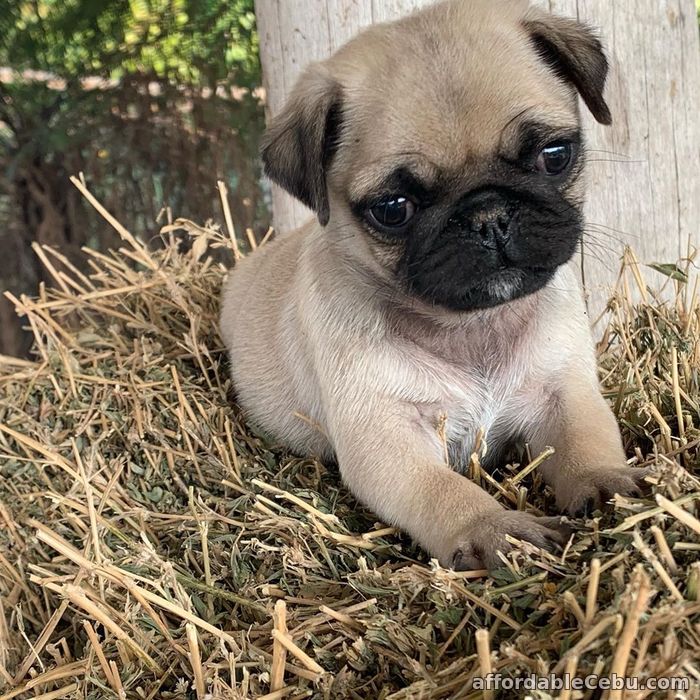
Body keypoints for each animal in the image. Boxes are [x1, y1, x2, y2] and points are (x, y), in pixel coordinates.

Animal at [221, 0, 648, 568]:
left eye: (555, 156)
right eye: (393, 209)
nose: (488, 215)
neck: (473, 325)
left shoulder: (564, 391)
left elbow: (587, 441)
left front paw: (605, 484)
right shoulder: (386, 438)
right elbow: (443, 491)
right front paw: (493, 529)